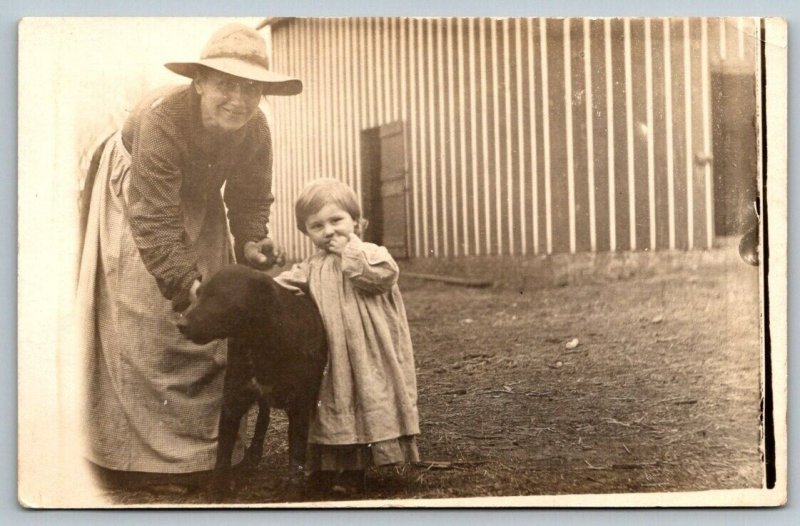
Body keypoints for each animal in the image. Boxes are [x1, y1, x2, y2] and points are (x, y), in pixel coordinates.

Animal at [177, 266, 326, 502]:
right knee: (263, 417)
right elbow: (222, 455)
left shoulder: (300, 407)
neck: (259, 343)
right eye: (198, 294)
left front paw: (294, 491)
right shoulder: (232, 402)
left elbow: (296, 453)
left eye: (218, 297)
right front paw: (217, 492)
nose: (181, 325)